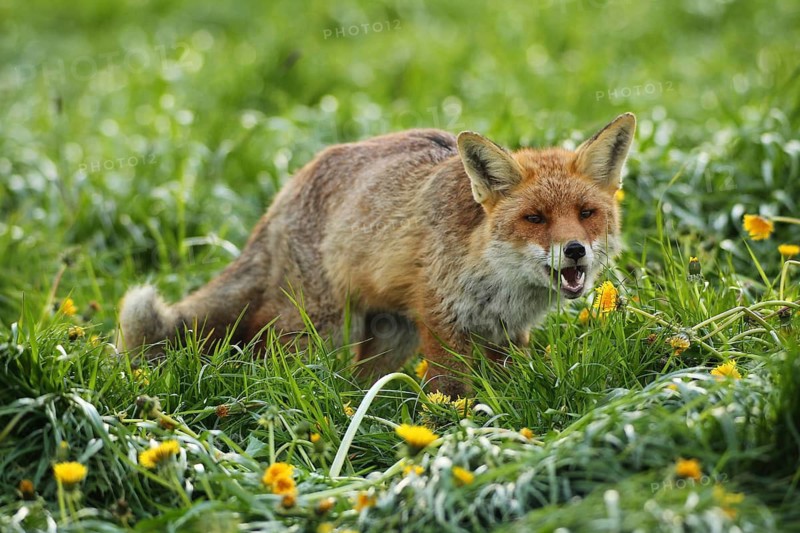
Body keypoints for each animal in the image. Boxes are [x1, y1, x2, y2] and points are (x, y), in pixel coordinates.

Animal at [119, 112, 635, 397]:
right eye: (535, 218)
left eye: (586, 213)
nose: (574, 251)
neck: (500, 280)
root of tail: (281, 196)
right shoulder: (441, 320)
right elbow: (451, 392)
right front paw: (451, 432)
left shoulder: (505, 334)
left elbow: (510, 388)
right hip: (323, 329)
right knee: (270, 356)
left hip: (391, 337)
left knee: (360, 381)